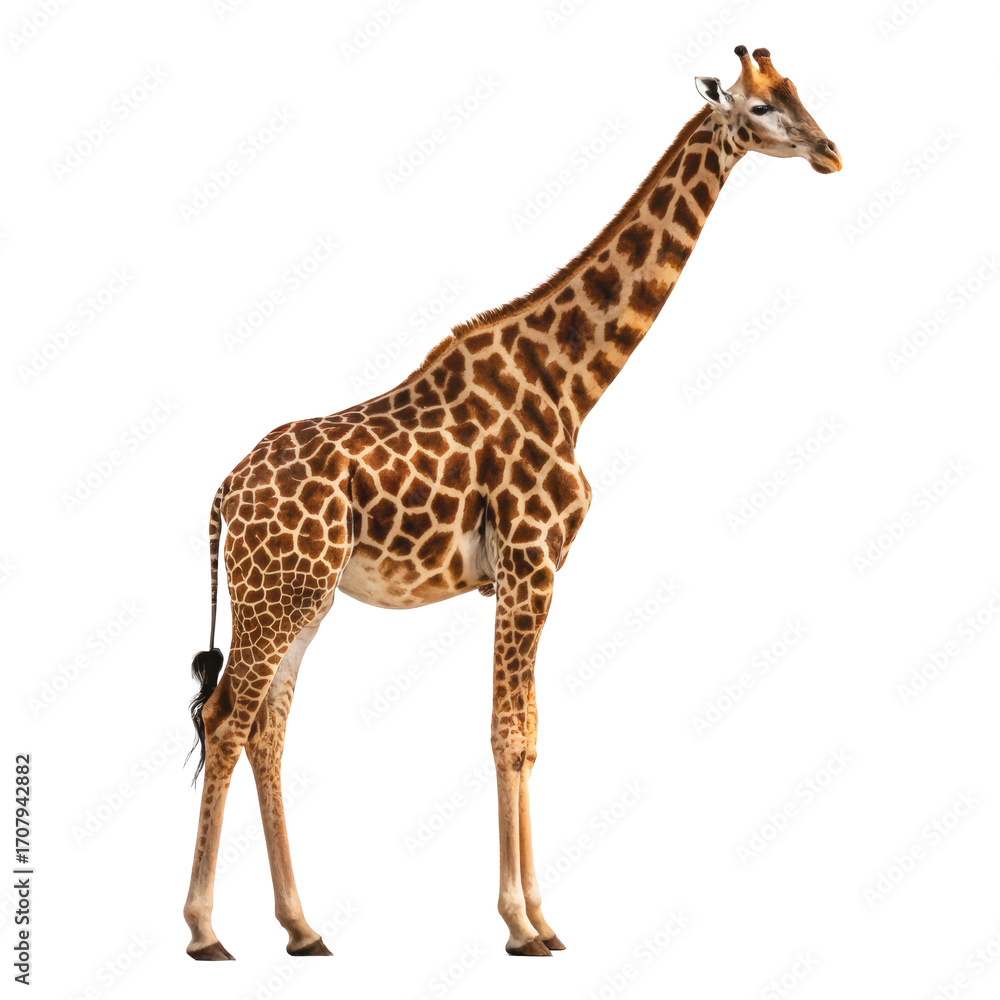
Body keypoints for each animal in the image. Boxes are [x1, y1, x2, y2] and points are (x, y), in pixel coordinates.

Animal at [183, 45, 841, 960]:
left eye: (797, 92)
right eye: (761, 106)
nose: (831, 152)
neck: (573, 385)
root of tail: (223, 491)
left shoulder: (533, 572)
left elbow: (527, 734)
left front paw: (542, 920)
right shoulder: (532, 564)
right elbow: (509, 733)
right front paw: (521, 925)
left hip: (298, 595)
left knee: (263, 727)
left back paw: (302, 927)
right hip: (278, 592)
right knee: (225, 720)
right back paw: (205, 931)